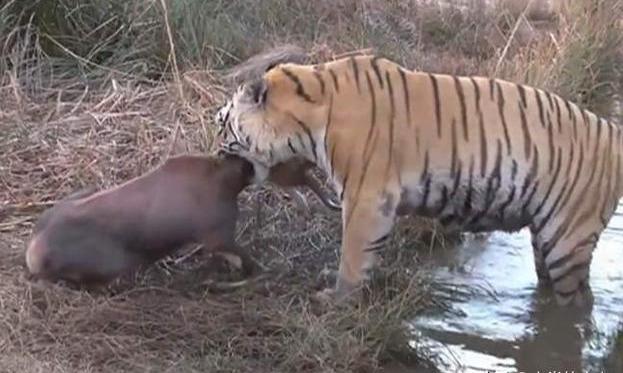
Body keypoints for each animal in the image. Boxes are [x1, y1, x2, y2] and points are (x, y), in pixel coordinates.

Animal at [213, 53, 620, 308]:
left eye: (222, 123)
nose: (215, 153)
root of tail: (610, 131)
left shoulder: (366, 198)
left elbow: (353, 253)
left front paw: (338, 298)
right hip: (545, 236)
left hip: (566, 238)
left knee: (579, 304)